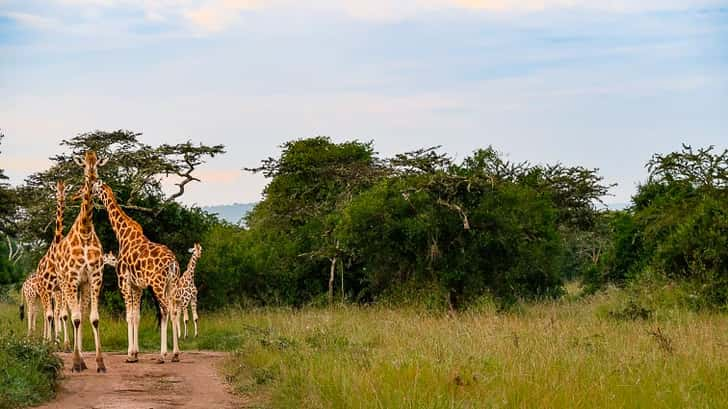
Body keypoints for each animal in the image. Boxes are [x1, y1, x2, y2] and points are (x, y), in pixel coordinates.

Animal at [91, 180, 183, 362]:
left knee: (165, 310)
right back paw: (175, 354)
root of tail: (172, 263)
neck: (122, 234)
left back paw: (162, 355)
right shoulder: (137, 286)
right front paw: (135, 353)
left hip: (158, 285)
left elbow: (129, 316)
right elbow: (136, 316)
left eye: (94, 186)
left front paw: (130, 354)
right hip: (172, 285)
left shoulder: (123, 282)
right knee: (174, 311)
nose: (89, 193)